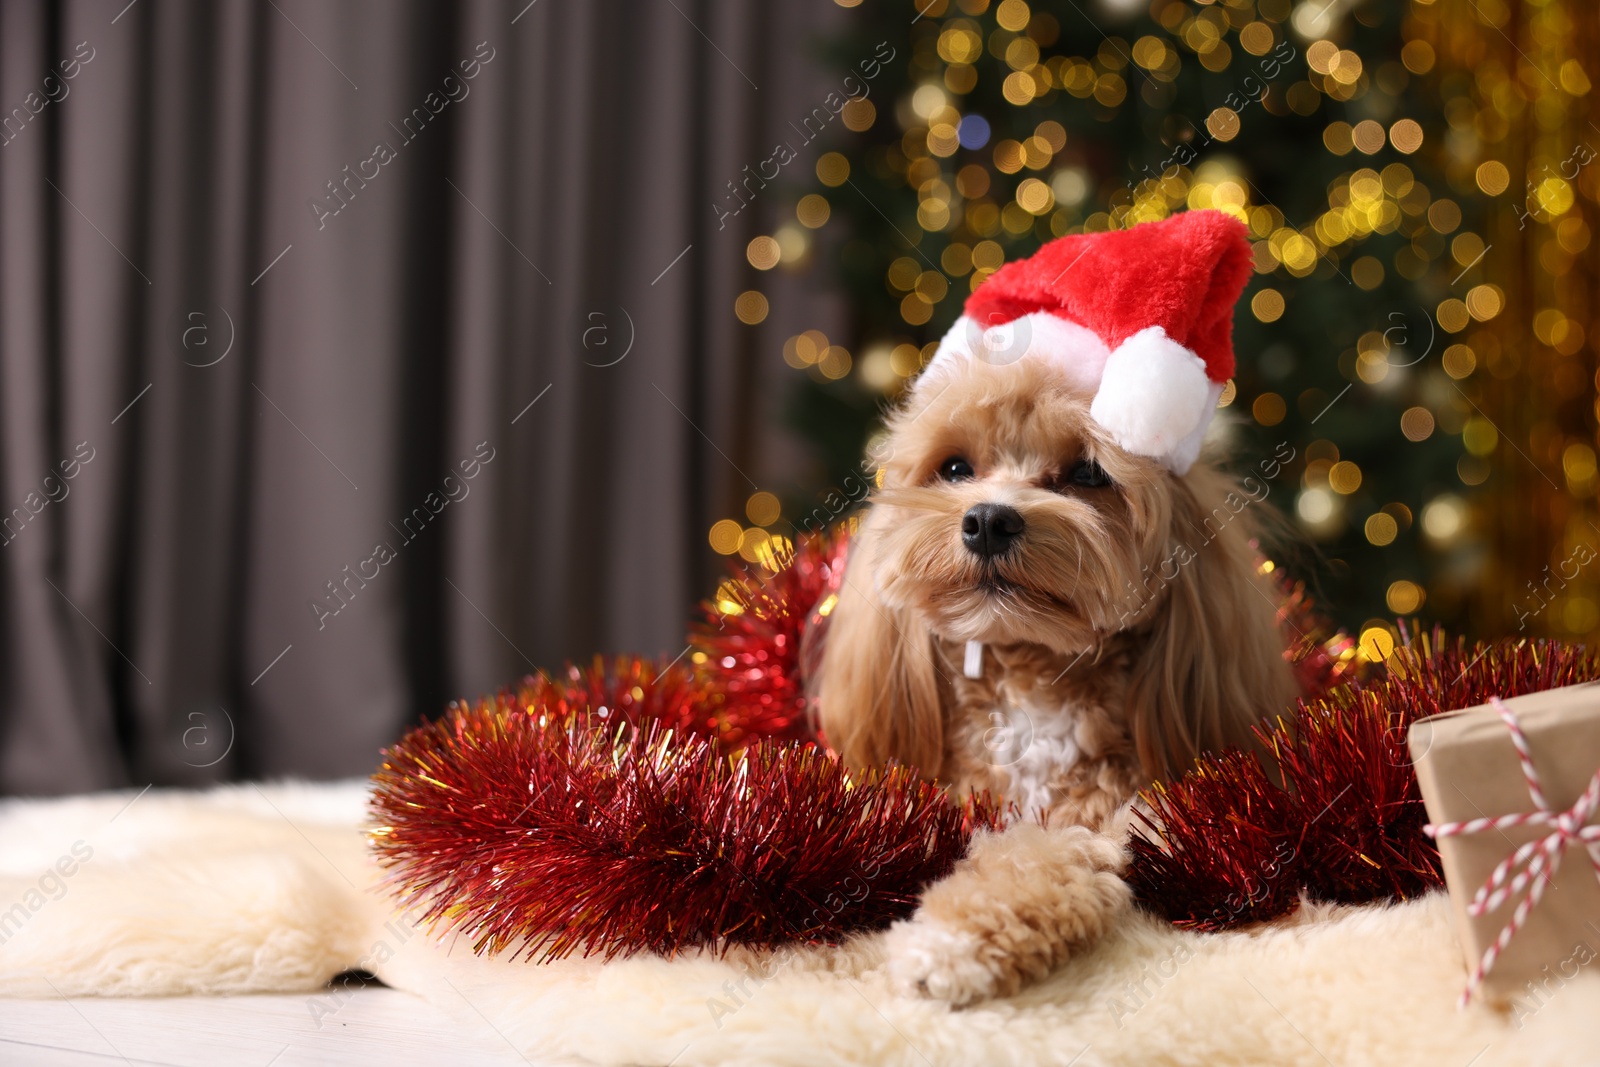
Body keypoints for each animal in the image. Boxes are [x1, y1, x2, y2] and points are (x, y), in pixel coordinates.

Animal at [812, 351, 1299, 1011]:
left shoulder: (1110, 820)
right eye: (956, 467)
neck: (1032, 686)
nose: (988, 520)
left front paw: (951, 941)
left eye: (1089, 473)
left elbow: (1037, 860)